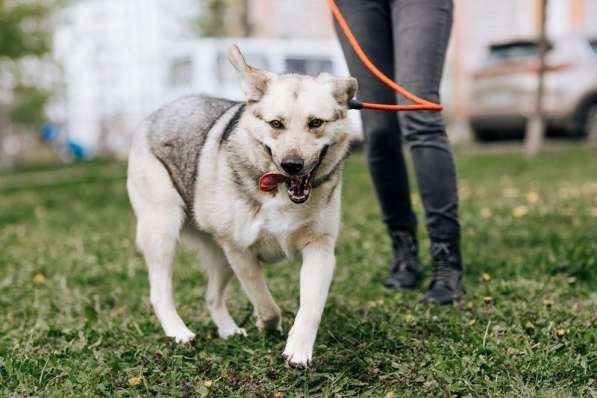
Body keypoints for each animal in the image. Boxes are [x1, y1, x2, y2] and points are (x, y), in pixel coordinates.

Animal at [127, 45, 356, 366]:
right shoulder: (240, 251)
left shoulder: (319, 249)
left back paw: (228, 331)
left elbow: (310, 308)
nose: (292, 165)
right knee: (160, 293)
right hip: (165, 232)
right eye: (276, 124)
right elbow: (265, 302)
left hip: (220, 256)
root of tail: (159, 112)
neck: (279, 190)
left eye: (316, 123)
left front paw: (298, 350)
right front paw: (267, 326)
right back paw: (178, 333)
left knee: (212, 297)